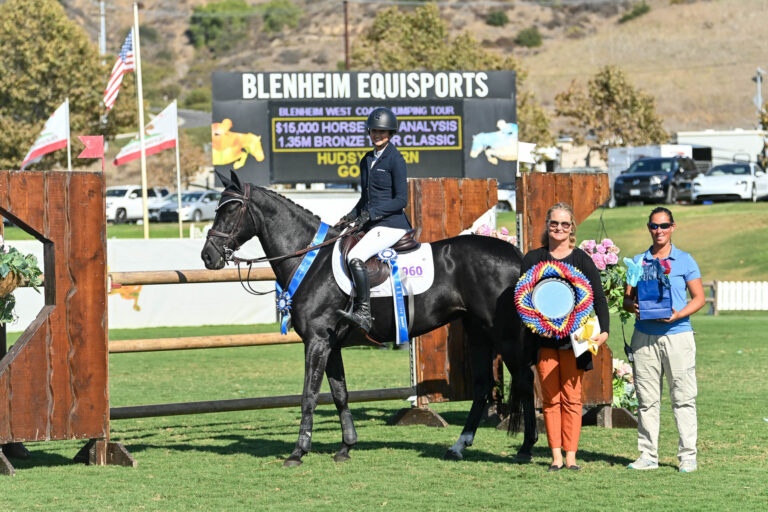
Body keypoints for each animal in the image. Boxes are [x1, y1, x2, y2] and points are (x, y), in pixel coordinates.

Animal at [201, 170, 536, 466]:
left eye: (231, 209)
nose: (208, 256)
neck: (311, 260)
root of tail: (515, 255)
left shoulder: (317, 341)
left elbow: (309, 395)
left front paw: (298, 453)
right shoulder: (331, 345)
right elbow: (339, 394)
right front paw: (346, 447)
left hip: (502, 335)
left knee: (524, 378)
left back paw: (526, 448)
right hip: (477, 332)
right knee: (483, 386)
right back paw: (459, 447)